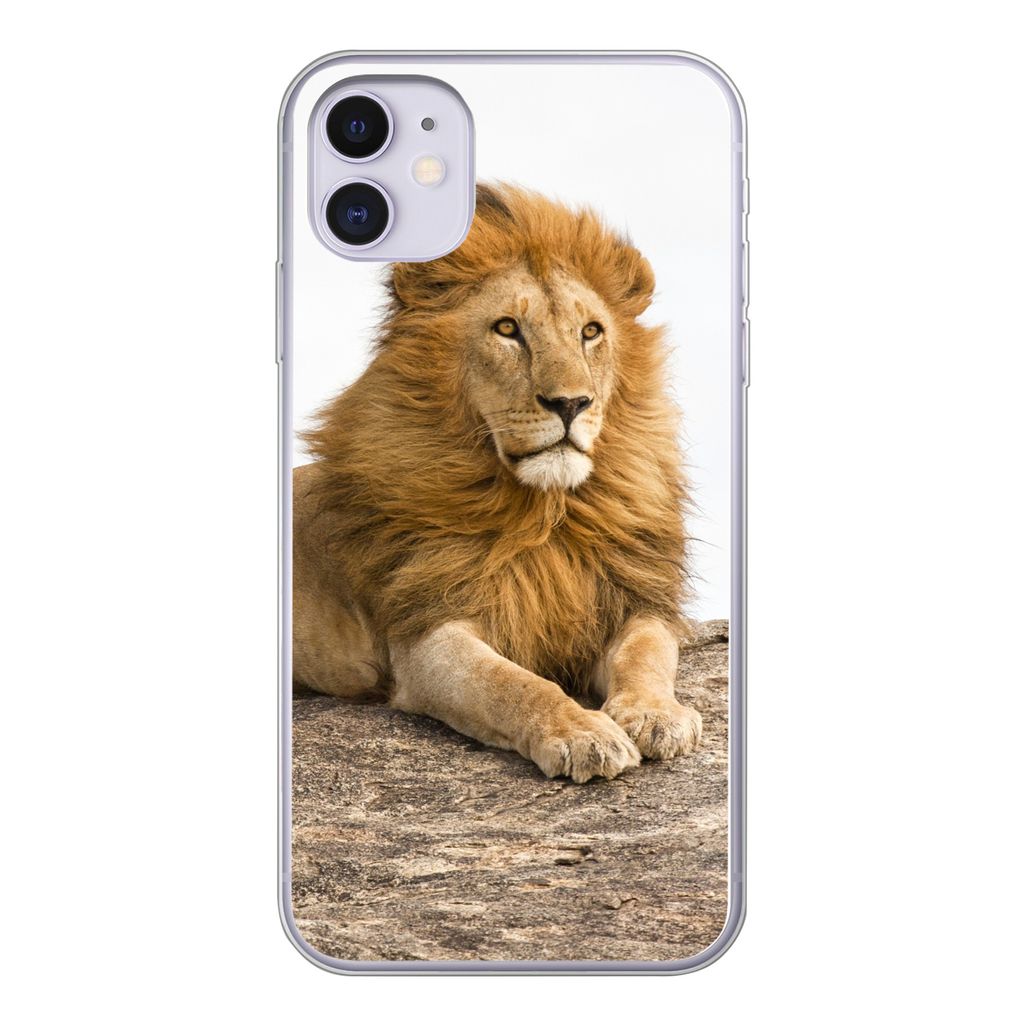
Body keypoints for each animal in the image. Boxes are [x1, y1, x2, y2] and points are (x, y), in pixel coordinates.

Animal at [292, 183, 702, 783]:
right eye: (508, 328)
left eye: (590, 332)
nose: (571, 404)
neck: (545, 514)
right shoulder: (428, 633)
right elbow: (514, 684)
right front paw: (582, 733)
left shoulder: (630, 600)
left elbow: (646, 654)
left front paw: (656, 715)